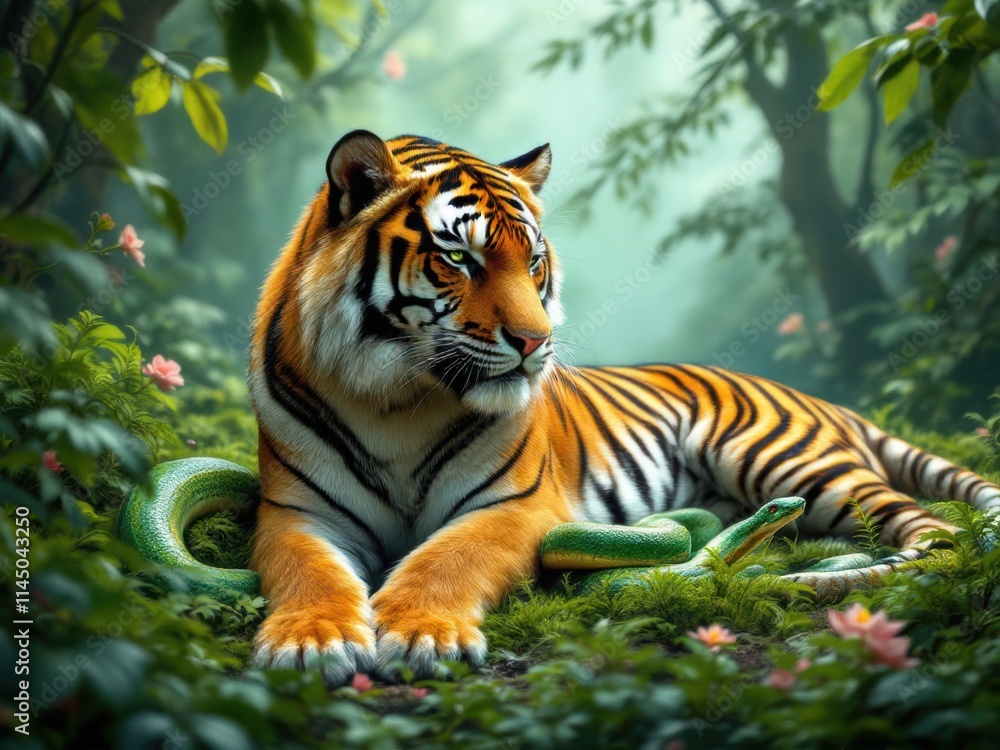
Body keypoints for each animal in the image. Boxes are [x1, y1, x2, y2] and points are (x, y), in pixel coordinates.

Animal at [247, 130, 1000, 685]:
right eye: (458, 258)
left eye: (534, 262)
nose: (536, 343)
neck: (398, 398)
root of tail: (817, 398)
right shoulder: (297, 512)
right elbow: (309, 574)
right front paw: (311, 642)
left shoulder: (515, 506)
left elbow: (446, 559)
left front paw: (421, 633)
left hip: (781, 458)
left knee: (939, 533)